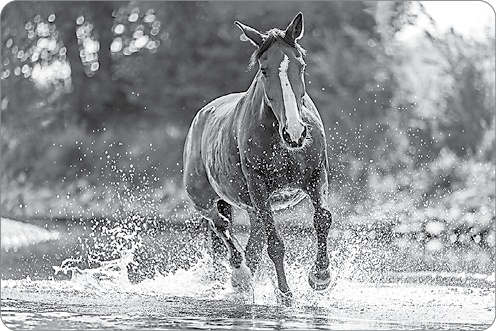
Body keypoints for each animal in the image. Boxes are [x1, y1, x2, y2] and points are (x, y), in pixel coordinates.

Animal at [183, 13, 334, 308]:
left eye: (300, 65)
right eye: (264, 70)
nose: (295, 132)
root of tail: (202, 115)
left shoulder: (316, 176)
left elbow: (322, 219)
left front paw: (320, 276)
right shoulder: (259, 186)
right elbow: (275, 244)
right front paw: (285, 294)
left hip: (252, 206)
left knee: (251, 243)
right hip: (203, 197)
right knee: (221, 224)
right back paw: (240, 276)